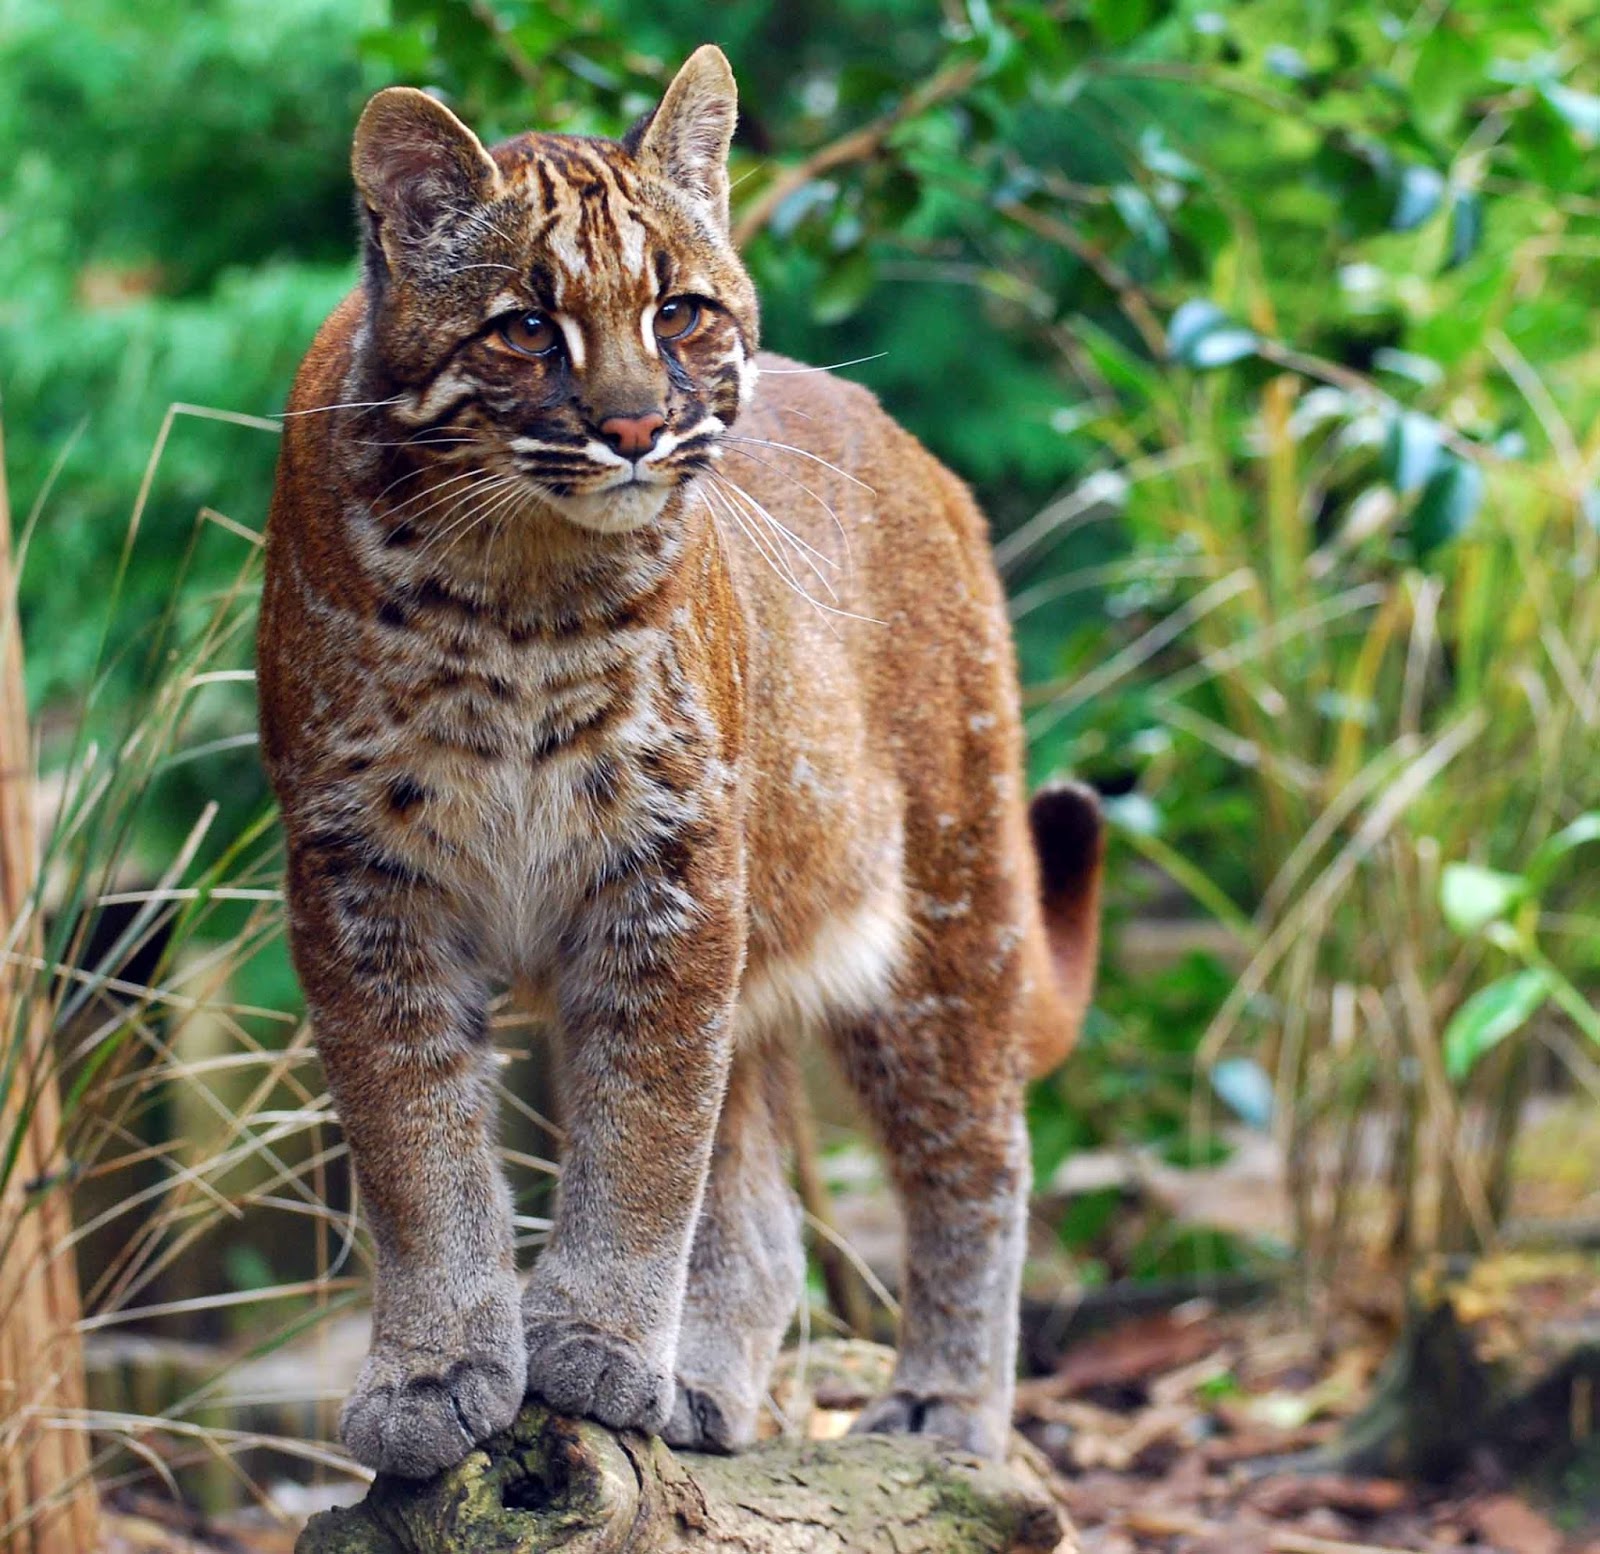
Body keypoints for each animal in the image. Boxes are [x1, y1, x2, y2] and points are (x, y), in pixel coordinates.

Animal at [256, 45, 1100, 1485]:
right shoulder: (363, 881)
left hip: (946, 912)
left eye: (681, 312)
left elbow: (646, 1140)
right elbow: (416, 1144)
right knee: (766, 1216)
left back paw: (945, 1413)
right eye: (524, 327)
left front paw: (593, 1344)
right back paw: (705, 1388)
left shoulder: (670, 868)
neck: (516, 588)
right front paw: (435, 1373)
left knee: (979, 1157)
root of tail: (914, 447)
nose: (638, 429)